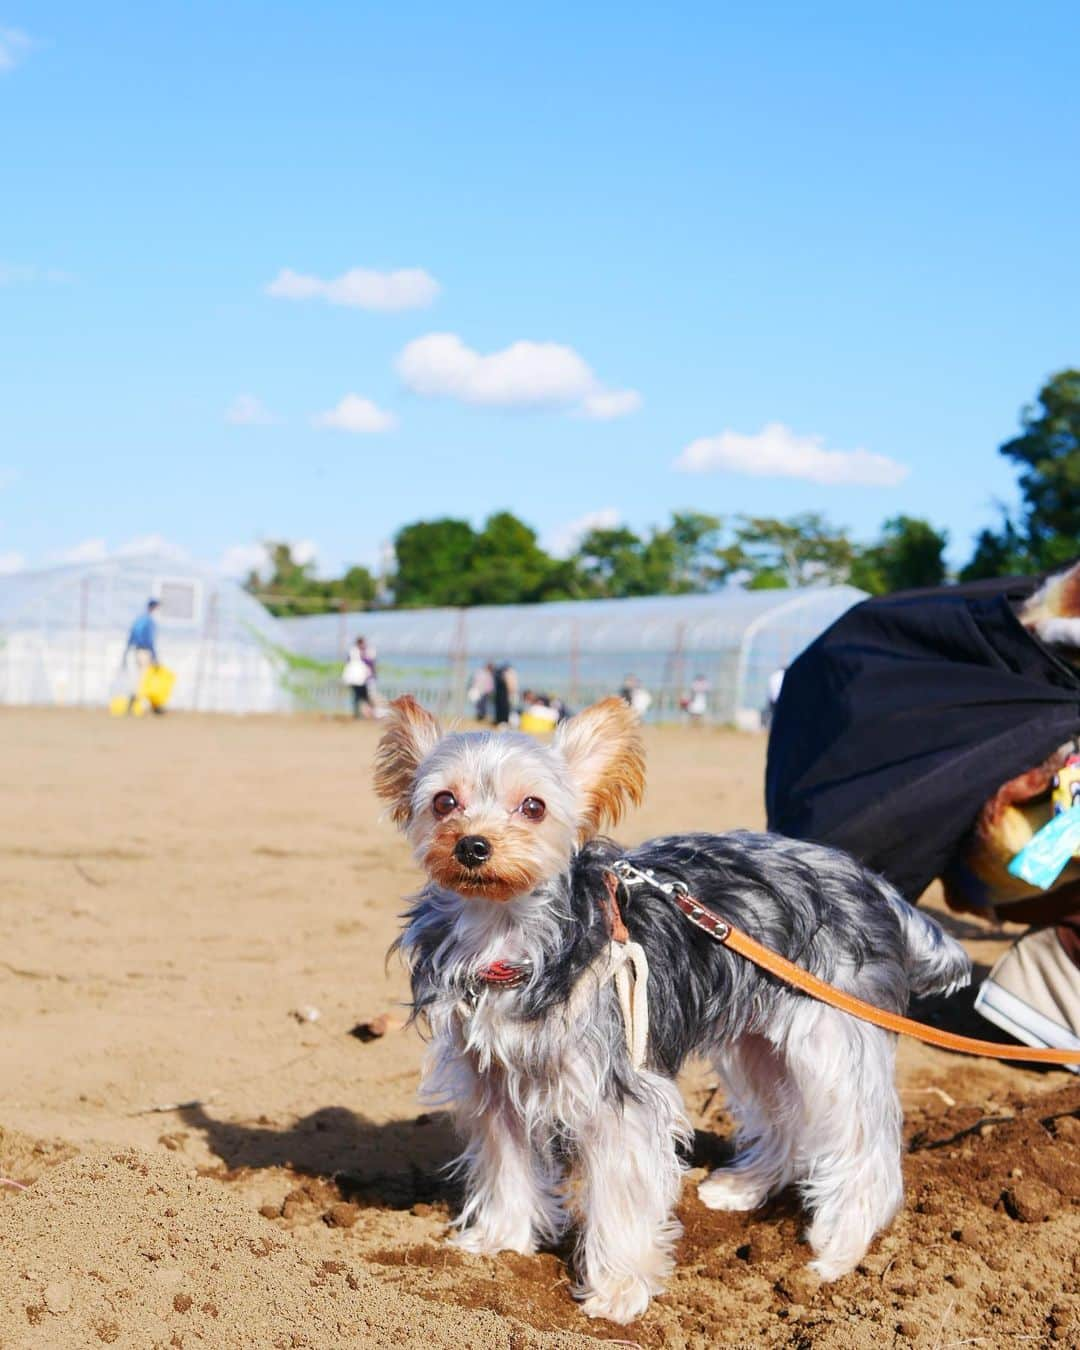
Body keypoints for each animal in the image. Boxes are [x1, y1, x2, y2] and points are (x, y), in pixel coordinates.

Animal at [378, 696, 972, 1317]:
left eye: (533, 807)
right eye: (445, 801)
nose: (472, 845)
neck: (507, 936)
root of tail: (877, 886)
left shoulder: (620, 1094)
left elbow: (621, 1195)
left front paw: (617, 1292)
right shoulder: (494, 1080)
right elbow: (506, 1163)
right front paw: (500, 1243)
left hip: (831, 1036)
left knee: (864, 1144)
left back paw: (840, 1251)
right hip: (758, 1039)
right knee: (785, 1112)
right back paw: (742, 1188)